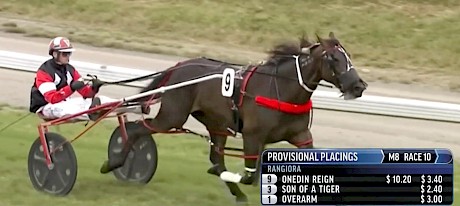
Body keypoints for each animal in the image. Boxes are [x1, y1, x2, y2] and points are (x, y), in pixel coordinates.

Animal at [99, 31, 368, 203]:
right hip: (173, 116)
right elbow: (249, 175)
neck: (282, 89)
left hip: (216, 124)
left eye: (348, 56)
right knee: (136, 129)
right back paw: (114, 163)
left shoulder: (301, 136)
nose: (359, 86)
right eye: (333, 58)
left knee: (216, 157)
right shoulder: (252, 136)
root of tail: (178, 66)